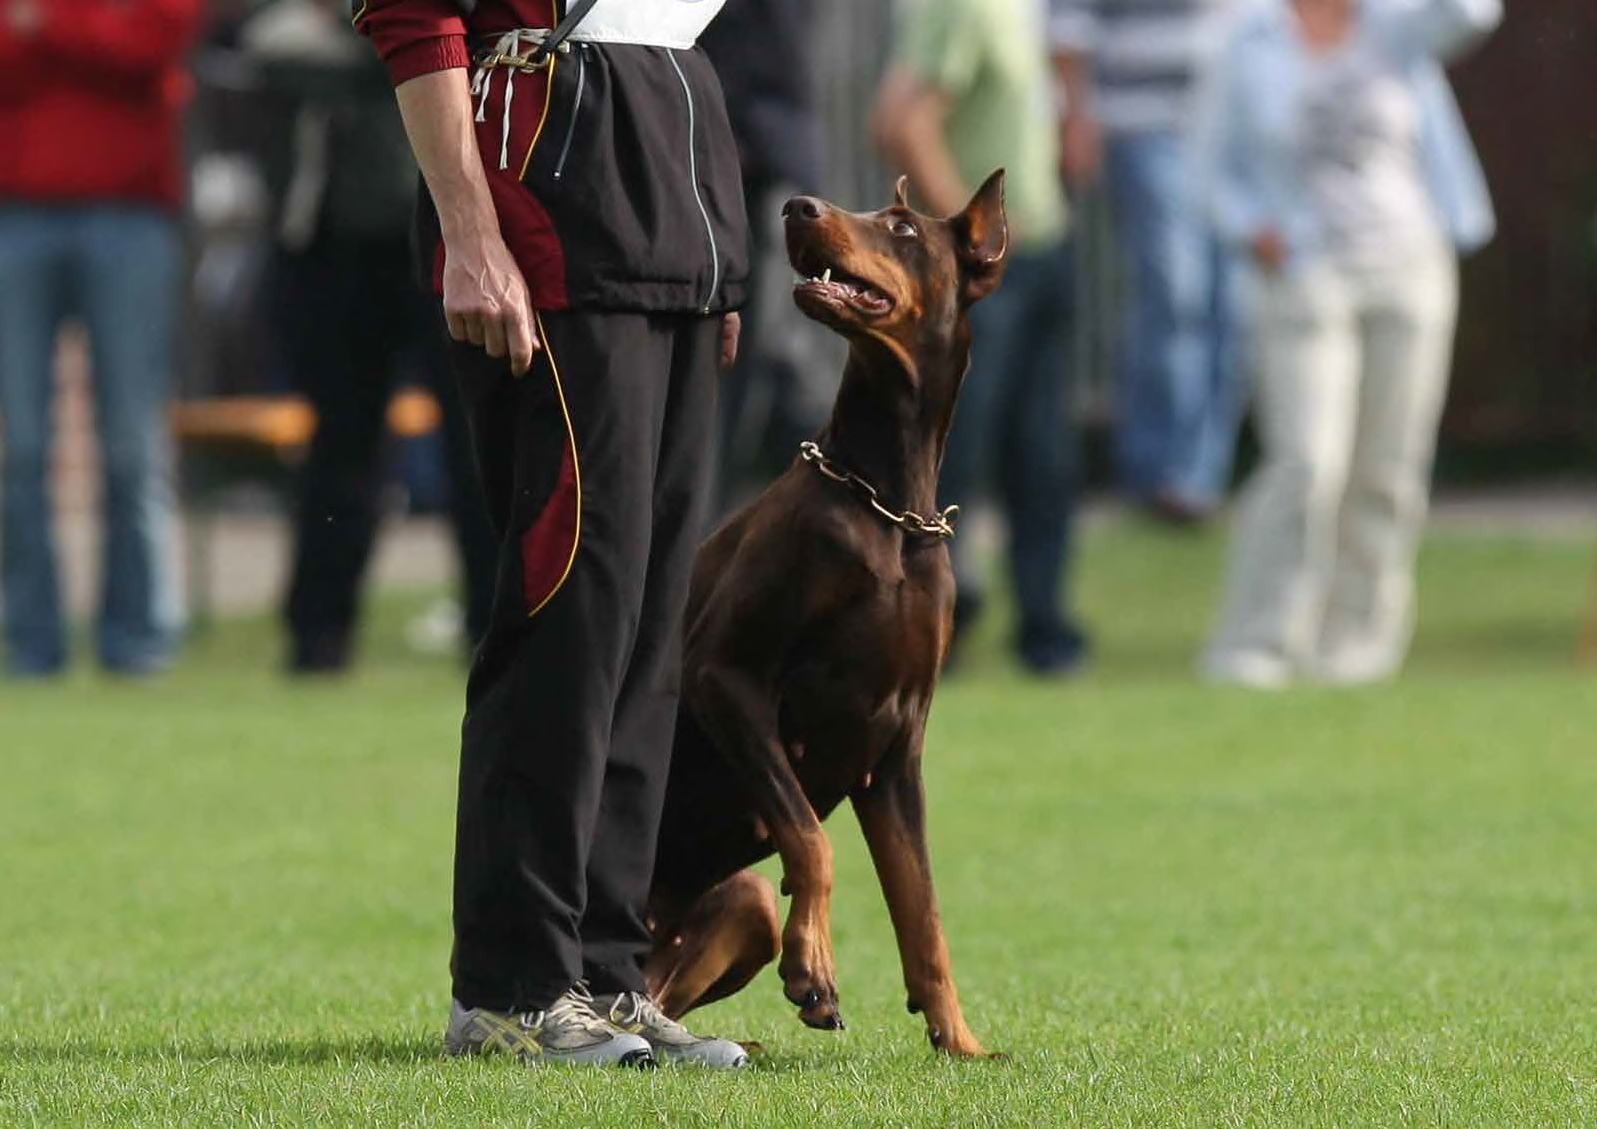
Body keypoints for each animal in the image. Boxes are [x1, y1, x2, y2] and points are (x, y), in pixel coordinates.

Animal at [638, 170, 1002, 1060]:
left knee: (661, 985)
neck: (887, 505)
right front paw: (816, 969)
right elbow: (810, 836)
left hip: (740, 903)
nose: (796, 207)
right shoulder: (724, 677)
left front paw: (959, 1040)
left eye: (902, 225)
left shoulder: (896, 750)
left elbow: (923, 912)